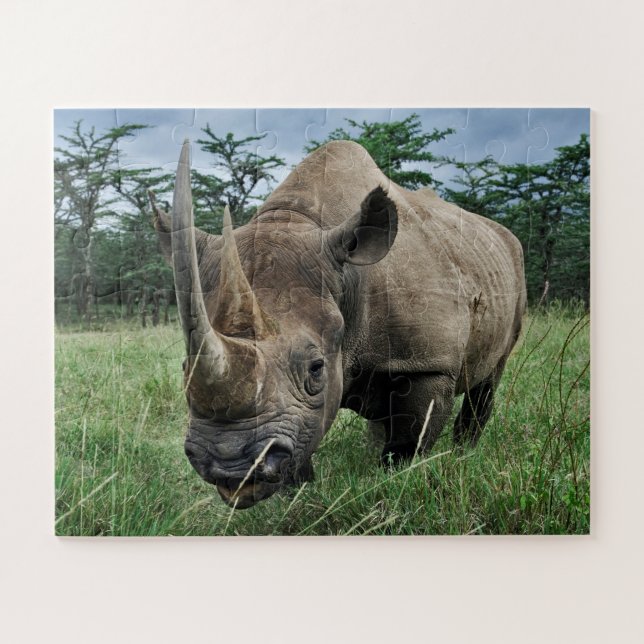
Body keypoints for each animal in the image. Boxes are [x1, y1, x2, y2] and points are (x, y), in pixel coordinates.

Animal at [151, 139, 526, 509]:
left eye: (316, 368)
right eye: (184, 369)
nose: (229, 467)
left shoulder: (429, 364)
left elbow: (408, 443)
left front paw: (394, 482)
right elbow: (305, 441)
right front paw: (300, 497)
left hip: (510, 267)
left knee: (490, 377)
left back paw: (464, 454)